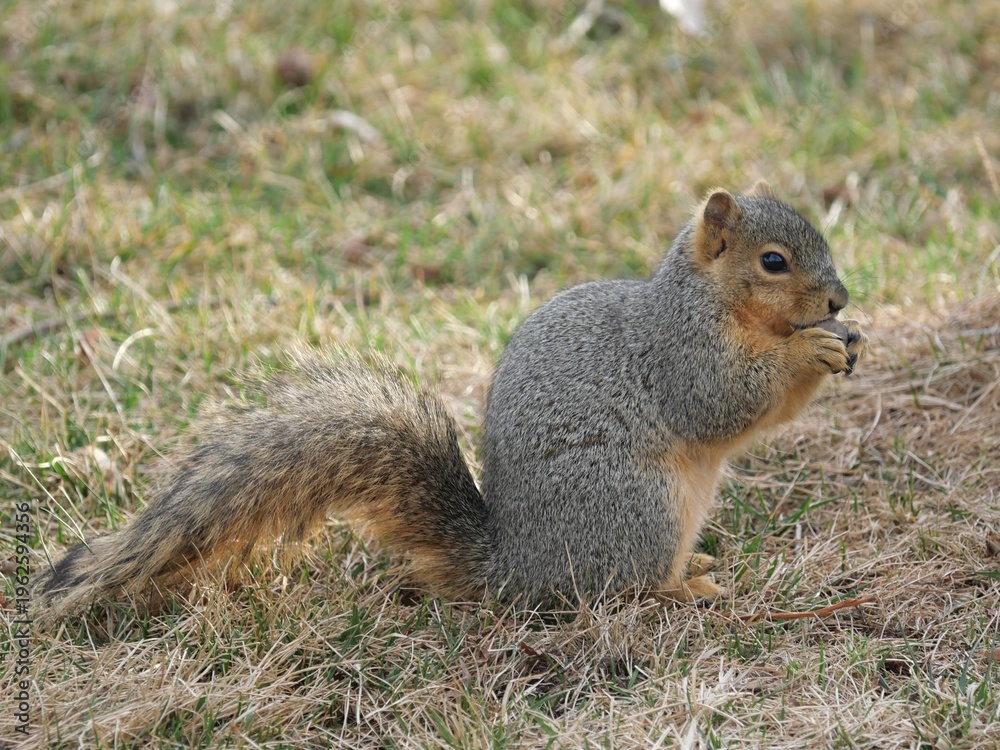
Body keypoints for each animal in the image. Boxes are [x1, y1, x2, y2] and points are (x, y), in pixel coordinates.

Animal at [36, 181, 868, 620]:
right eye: (773, 261)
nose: (839, 299)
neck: (713, 301)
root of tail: (515, 572)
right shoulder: (677, 351)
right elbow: (720, 401)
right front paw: (811, 349)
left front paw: (847, 340)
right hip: (638, 507)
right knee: (614, 591)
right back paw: (683, 586)